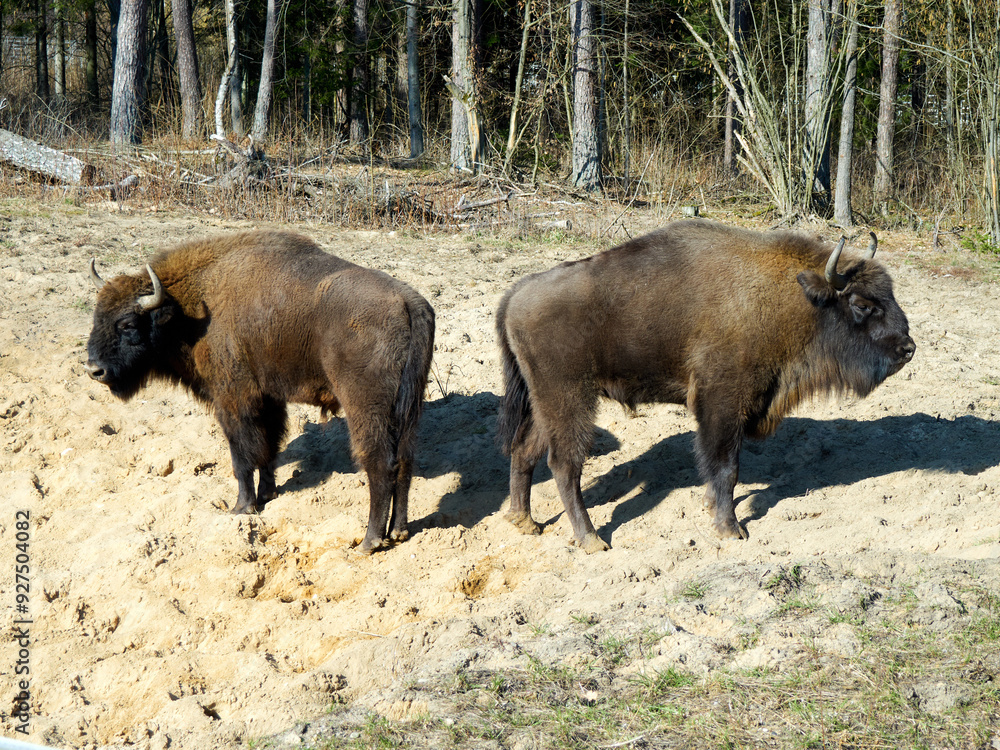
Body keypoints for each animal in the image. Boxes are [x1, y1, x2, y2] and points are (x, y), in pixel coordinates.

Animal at [85, 230, 435, 554]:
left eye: (128, 324)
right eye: (96, 315)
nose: (94, 370)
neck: (191, 309)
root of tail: (408, 302)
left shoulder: (233, 399)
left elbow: (242, 456)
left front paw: (241, 507)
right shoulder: (269, 399)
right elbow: (268, 447)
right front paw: (267, 495)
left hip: (365, 407)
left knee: (380, 464)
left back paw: (369, 541)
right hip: (408, 407)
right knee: (405, 461)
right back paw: (398, 531)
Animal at [496, 220, 915, 552]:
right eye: (862, 304)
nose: (907, 348)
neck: (792, 297)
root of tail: (514, 296)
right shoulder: (723, 403)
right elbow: (726, 467)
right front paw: (731, 529)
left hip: (544, 402)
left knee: (524, 450)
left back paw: (524, 522)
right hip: (569, 399)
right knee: (565, 464)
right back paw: (591, 540)